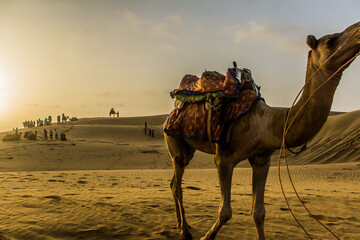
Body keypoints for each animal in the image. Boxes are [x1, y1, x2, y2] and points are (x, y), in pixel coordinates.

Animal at [164, 21, 360, 239]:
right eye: (330, 42)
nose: (359, 30)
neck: (266, 124)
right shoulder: (223, 158)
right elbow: (225, 212)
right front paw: (207, 236)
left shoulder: (262, 159)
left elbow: (258, 212)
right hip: (173, 139)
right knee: (177, 183)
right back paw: (184, 230)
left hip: (188, 148)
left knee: (173, 183)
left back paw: (184, 225)